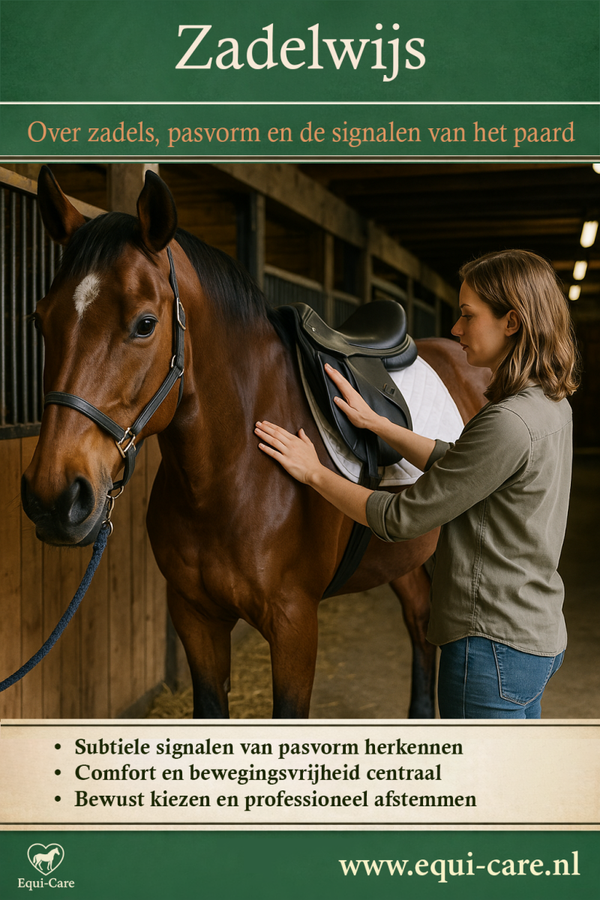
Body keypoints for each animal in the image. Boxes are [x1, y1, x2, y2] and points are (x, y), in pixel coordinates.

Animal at [21, 167, 488, 719]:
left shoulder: (295, 626)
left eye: (145, 324)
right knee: (418, 622)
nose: (54, 497)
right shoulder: (195, 619)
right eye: (40, 320)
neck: (232, 474)